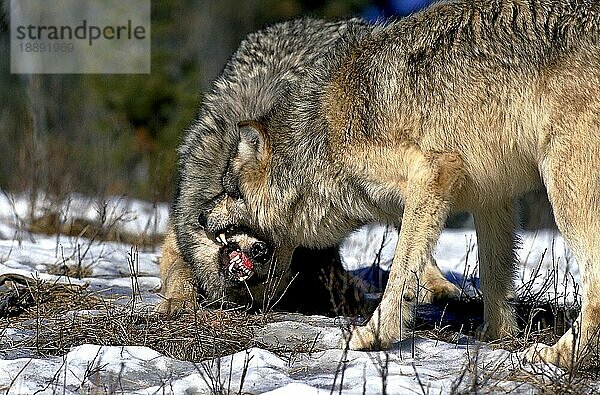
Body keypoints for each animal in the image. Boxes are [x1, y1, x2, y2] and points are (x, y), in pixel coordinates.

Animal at [159, 17, 460, 316]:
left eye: (272, 248)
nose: (260, 251)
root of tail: (319, 22)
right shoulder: (177, 236)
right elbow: (178, 272)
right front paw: (178, 301)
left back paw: (439, 287)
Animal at [196, 0, 600, 372]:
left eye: (231, 191)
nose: (201, 216)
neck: (323, 137)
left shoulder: (433, 173)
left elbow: (402, 274)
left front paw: (373, 335)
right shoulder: (492, 197)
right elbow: (494, 276)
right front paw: (496, 337)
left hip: (565, 188)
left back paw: (558, 357)